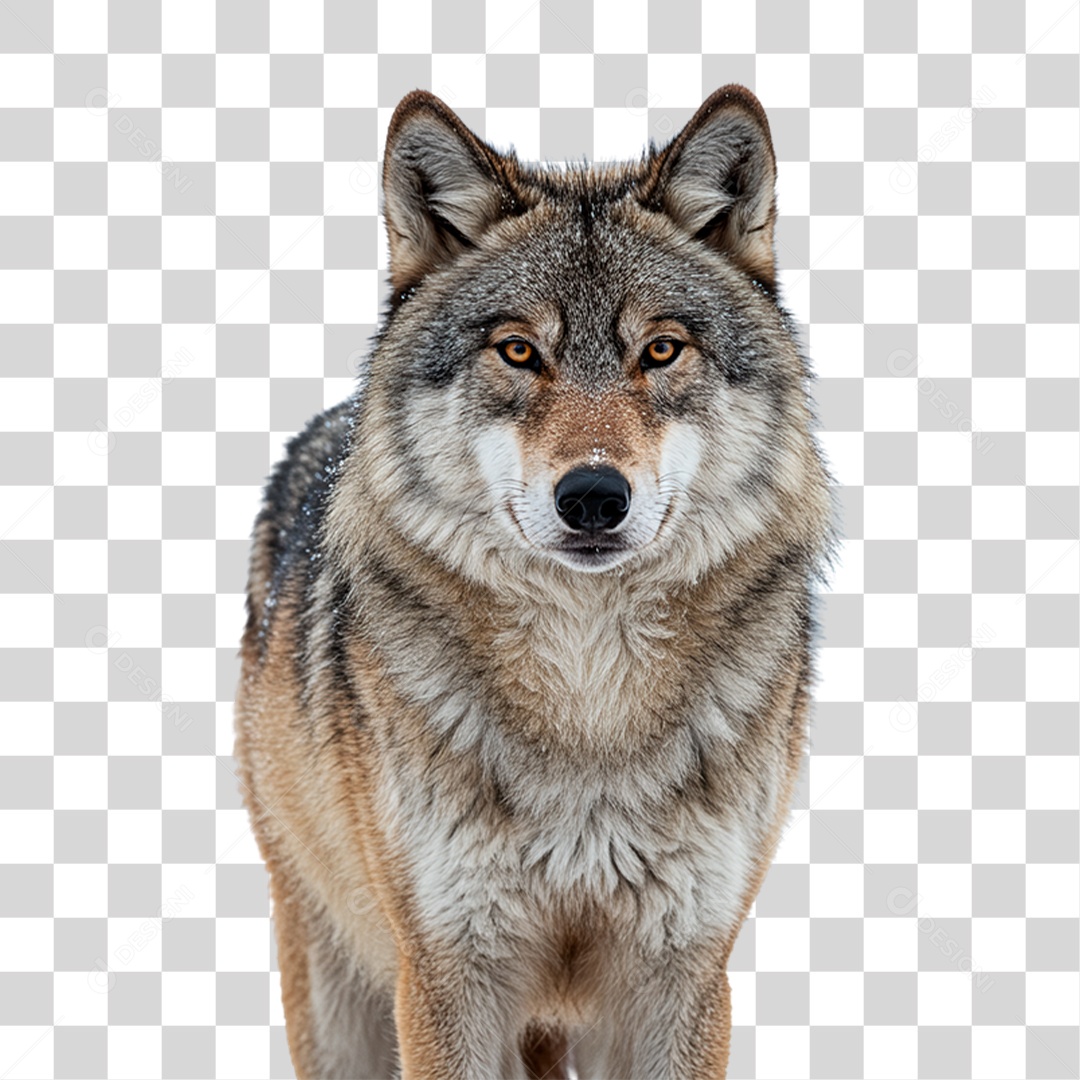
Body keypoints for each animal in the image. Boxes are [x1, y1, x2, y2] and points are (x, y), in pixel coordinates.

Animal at [235, 84, 836, 1079]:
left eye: (661, 351)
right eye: (519, 352)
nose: (592, 495)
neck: (589, 700)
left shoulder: (681, 975)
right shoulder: (447, 977)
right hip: (336, 979)